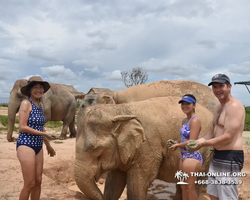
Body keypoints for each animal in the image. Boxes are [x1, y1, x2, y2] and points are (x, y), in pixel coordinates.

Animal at [74, 96, 213, 199]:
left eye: (95, 149)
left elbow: (137, 185)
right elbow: (114, 182)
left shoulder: (148, 147)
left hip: (206, 152)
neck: (120, 110)